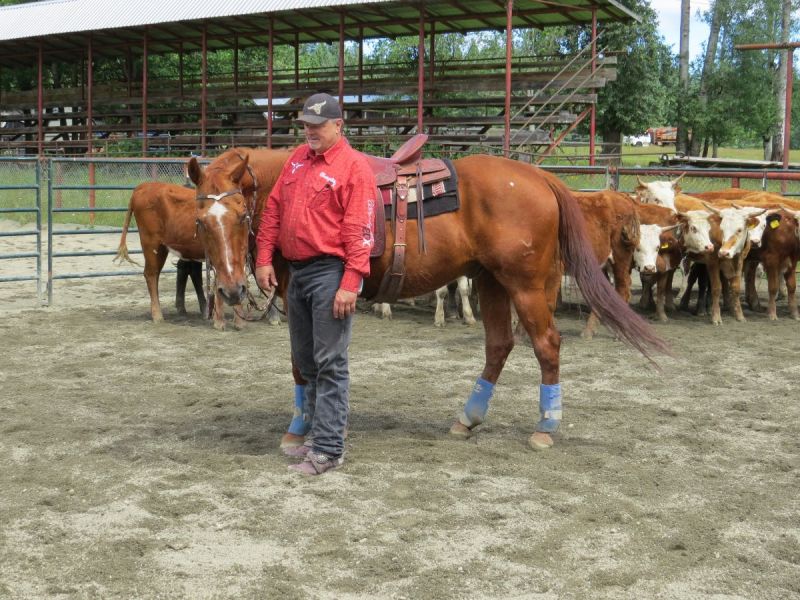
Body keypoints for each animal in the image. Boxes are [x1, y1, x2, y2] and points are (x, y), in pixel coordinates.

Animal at [187, 147, 670, 450]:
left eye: (238, 215)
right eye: (201, 220)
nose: (231, 290)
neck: (295, 191)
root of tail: (542, 176)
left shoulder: (301, 297)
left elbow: (302, 363)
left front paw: (300, 429)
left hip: (526, 286)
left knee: (547, 345)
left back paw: (545, 427)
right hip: (493, 283)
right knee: (499, 345)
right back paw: (468, 419)